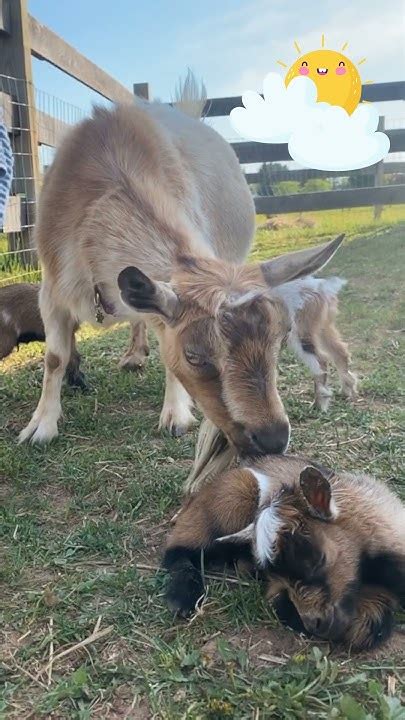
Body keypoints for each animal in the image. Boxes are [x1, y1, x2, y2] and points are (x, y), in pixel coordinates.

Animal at [19, 84, 340, 450]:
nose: (273, 439)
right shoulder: (52, 289)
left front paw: (175, 415)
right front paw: (40, 427)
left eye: (279, 341)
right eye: (194, 356)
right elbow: (54, 358)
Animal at [272, 278, 356, 410]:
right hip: (321, 326)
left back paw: (320, 403)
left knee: (321, 360)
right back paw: (347, 390)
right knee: (340, 352)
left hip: (301, 330)